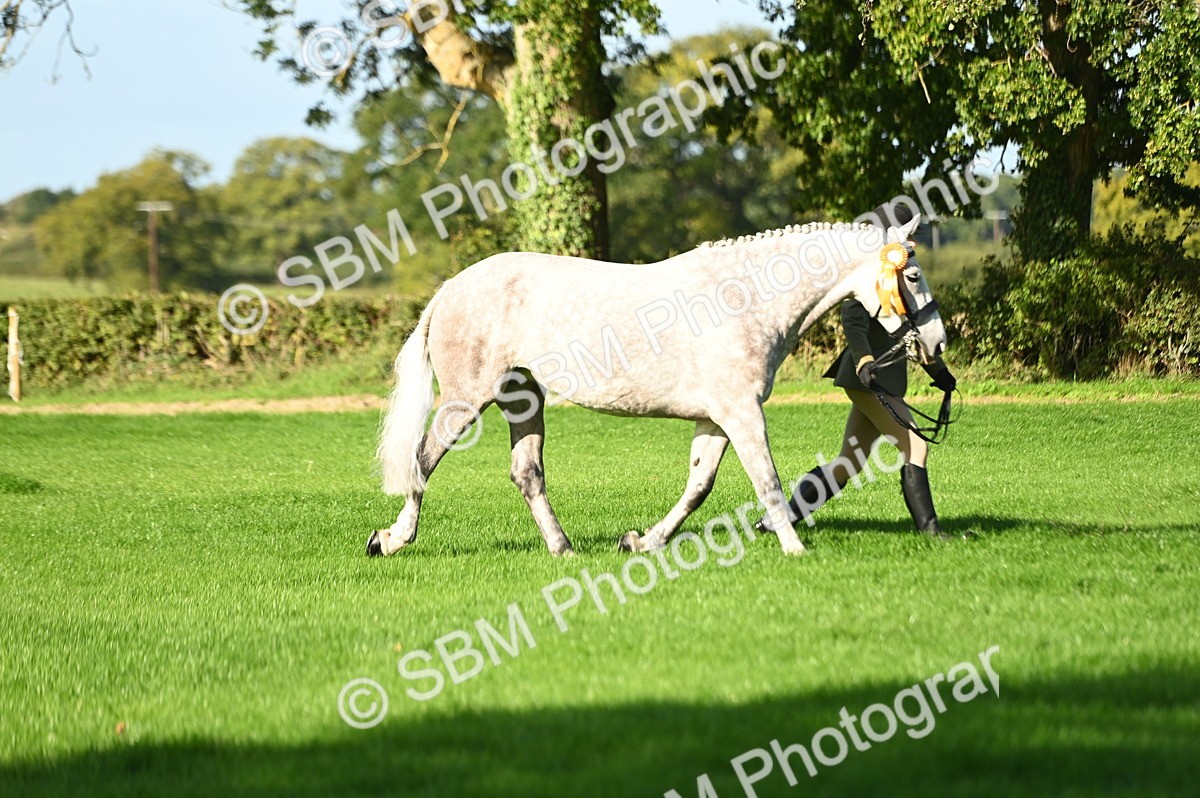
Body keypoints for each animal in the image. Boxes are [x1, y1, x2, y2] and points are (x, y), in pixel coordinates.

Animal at [367, 213, 946, 558]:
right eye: (913, 277)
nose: (937, 344)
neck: (745, 299)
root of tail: (450, 288)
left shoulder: (715, 419)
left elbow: (698, 486)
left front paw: (642, 541)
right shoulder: (742, 413)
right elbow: (768, 481)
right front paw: (794, 550)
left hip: (522, 398)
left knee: (526, 473)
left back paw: (563, 549)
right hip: (467, 401)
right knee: (421, 461)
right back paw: (391, 539)